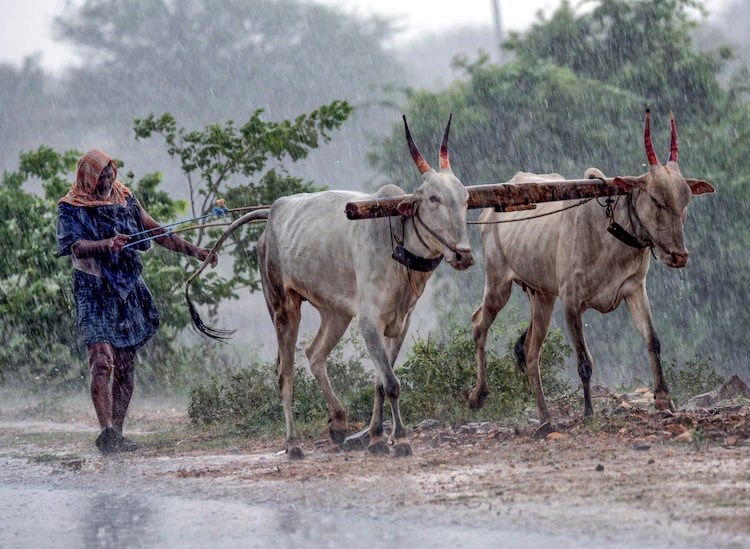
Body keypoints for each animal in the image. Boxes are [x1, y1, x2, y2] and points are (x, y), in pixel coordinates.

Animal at [186, 115, 474, 459]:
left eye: (466, 199)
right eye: (433, 199)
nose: (464, 254)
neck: (394, 236)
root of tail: (273, 212)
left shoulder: (399, 324)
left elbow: (380, 382)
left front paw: (377, 438)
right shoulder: (369, 322)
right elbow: (392, 383)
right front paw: (401, 440)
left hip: (336, 312)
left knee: (314, 354)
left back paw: (337, 422)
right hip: (282, 305)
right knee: (285, 372)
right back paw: (293, 444)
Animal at [469, 108, 714, 434]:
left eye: (686, 200)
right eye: (655, 199)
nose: (679, 255)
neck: (611, 229)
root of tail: (488, 210)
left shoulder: (635, 289)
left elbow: (653, 341)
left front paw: (664, 399)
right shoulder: (572, 303)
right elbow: (584, 362)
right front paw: (588, 412)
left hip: (542, 296)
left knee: (531, 352)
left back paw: (545, 417)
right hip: (498, 282)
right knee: (480, 326)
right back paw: (479, 396)